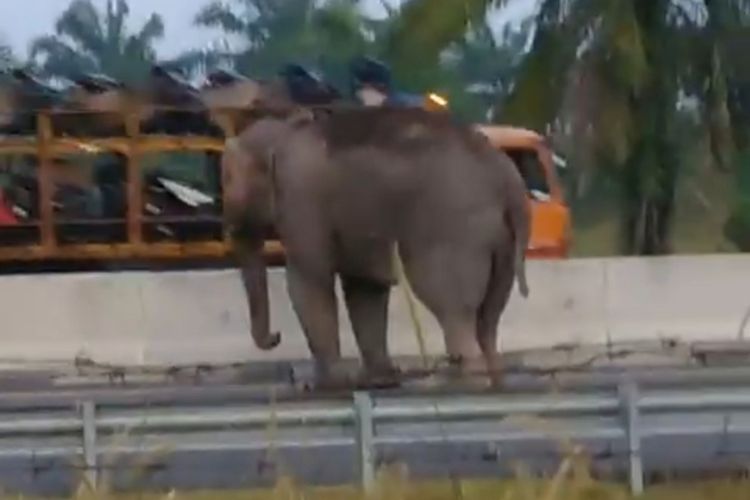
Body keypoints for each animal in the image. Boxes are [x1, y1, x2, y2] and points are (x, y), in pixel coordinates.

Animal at [220, 101, 532, 390]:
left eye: (227, 179)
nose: (276, 337)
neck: (285, 131)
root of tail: (507, 177)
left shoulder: (300, 200)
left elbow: (309, 280)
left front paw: (327, 385)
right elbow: (364, 291)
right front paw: (379, 380)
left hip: (454, 232)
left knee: (453, 310)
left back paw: (462, 385)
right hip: (503, 243)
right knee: (488, 319)